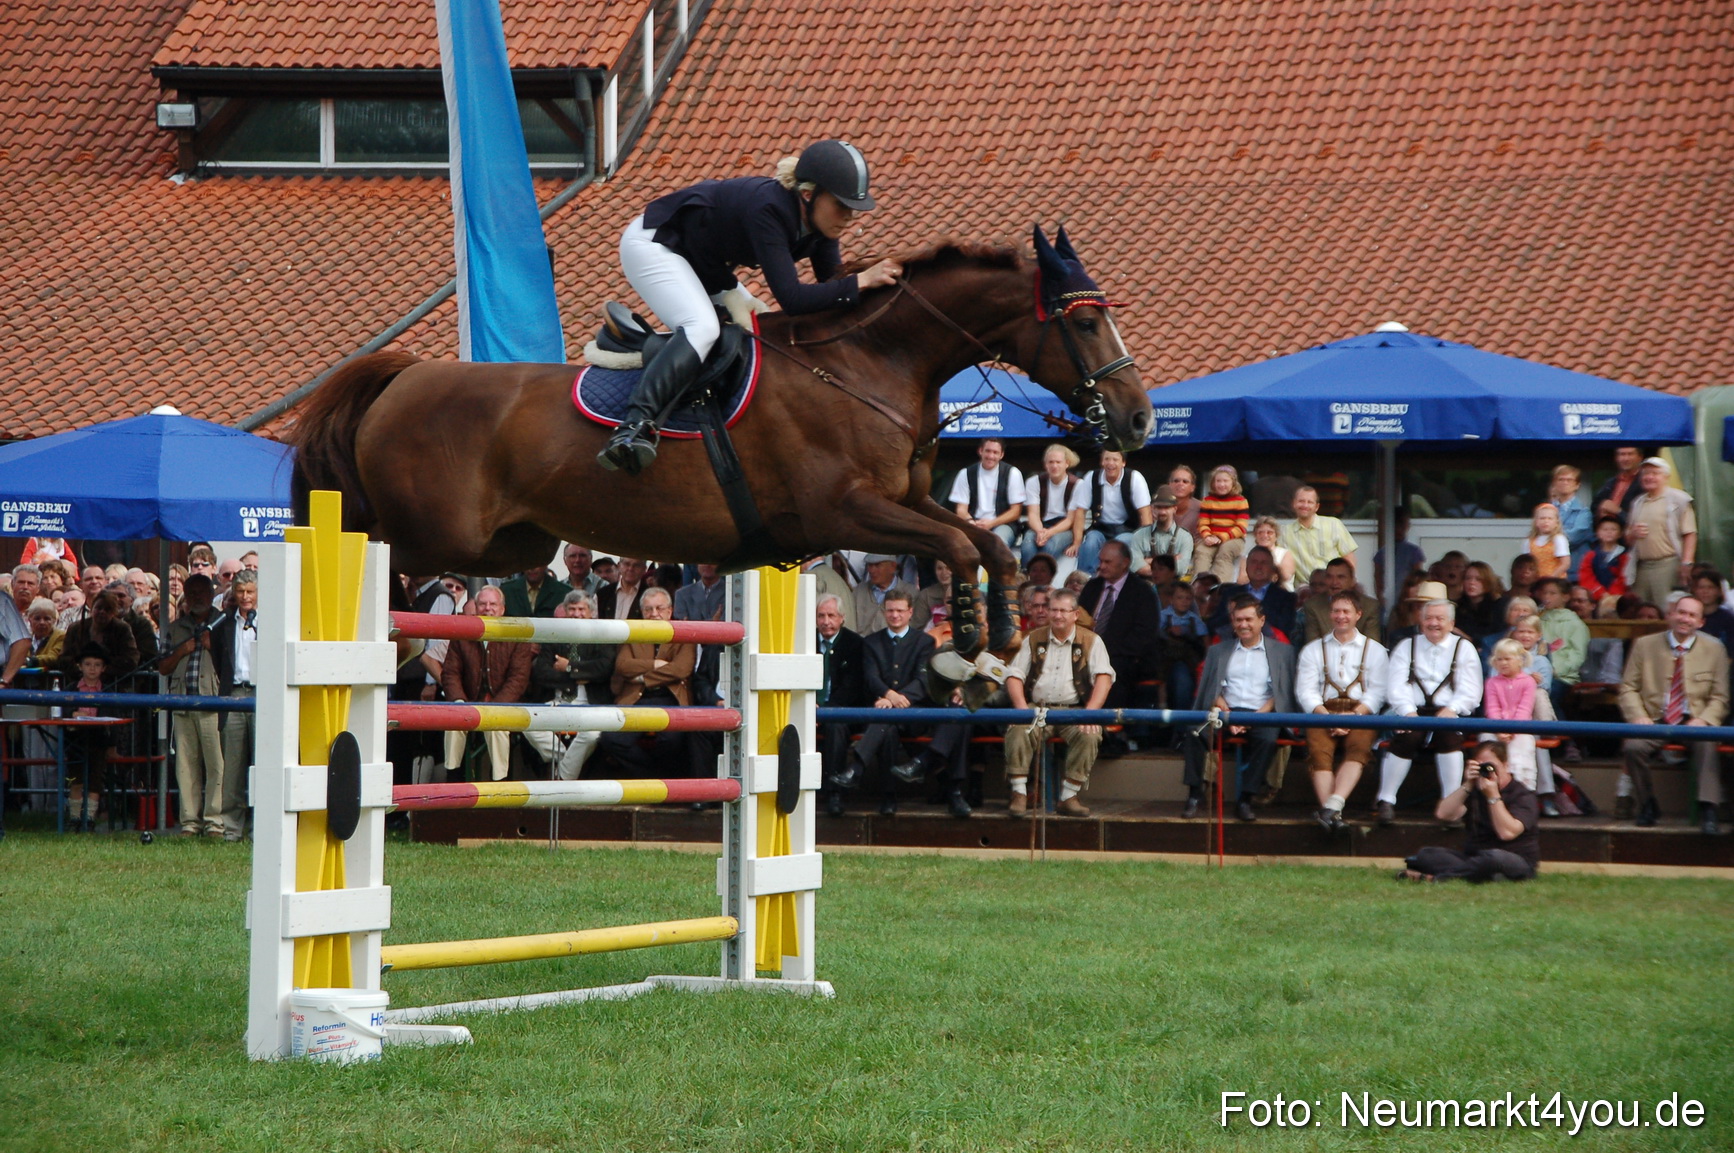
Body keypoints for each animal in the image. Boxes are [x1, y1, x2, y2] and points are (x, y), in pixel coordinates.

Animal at [289, 226, 1152, 655]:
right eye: (1083, 322)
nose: (1139, 418)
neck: (865, 362)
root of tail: (402, 376)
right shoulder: (843, 511)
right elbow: (958, 545)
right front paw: (973, 625)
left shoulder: (903, 502)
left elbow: (986, 541)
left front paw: (999, 626)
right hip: (442, 532)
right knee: (378, 553)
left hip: (516, 544)